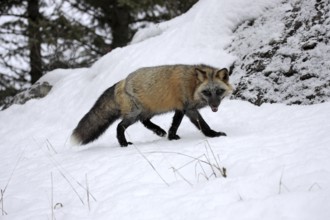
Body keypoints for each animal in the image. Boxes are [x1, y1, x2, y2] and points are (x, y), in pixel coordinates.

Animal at [71, 64, 233, 147]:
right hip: (134, 113)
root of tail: (122, 81)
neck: (192, 86)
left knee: (144, 121)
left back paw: (159, 131)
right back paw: (124, 143)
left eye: (219, 91)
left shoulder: (186, 109)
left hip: (150, 110)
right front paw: (214, 135)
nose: (214, 105)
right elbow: (192, 124)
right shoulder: (185, 107)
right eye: (207, 92)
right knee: (120, 126)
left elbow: (192, 125)